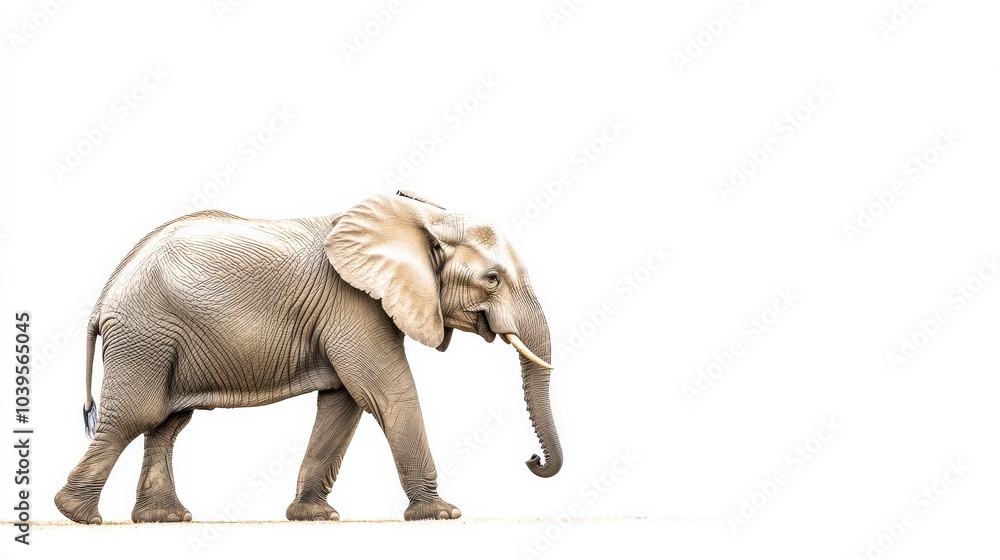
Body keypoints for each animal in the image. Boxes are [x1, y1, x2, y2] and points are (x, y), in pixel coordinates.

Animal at [54, 191, 562, 524]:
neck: (420, 218)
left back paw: (166, 519)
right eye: (492, 279)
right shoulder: (354, 304)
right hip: (144, 335)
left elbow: (343, 404)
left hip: (159, 341)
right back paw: (79, 516)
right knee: (136, 416)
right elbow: (386, 393)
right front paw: (442, 514)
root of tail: (103, 296)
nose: (532, 460)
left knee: (167, 422)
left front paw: (314, 516)